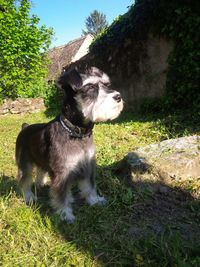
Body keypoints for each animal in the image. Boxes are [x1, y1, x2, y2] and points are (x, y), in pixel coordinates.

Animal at [15, 66, 123, 222]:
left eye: (106, 85)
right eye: (90, 87)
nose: (118, 96)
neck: (77, 133)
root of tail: (25, 127)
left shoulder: (88, 165)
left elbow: (90, 186)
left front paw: (95, 200)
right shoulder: (63, 172)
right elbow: (62, 196)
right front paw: (65, 214)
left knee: (41, 170)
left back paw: (41, 183)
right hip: (25, 164)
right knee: (25, 180)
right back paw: (29, 197)